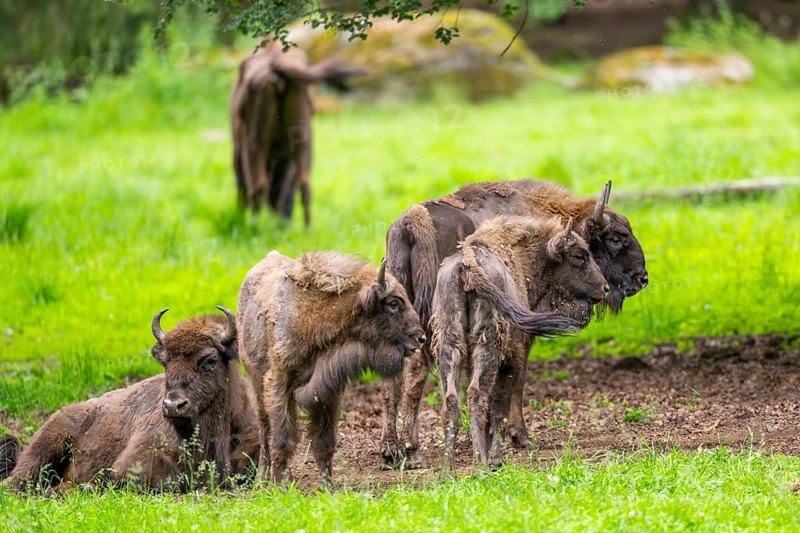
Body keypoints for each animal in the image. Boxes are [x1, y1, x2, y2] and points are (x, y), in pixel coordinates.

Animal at [237, 251, 425, 486]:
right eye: (393, 303)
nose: (421, 338)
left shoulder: (328, 389)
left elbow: (324, 441)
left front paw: (327, 486)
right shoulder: (279, 382)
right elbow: (282, 439)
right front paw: (280, 486)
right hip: (255, 381)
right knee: (265, 429)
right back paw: (263, 479)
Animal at [381, 179, 648, 467]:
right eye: (615, 238)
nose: (642, 278)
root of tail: (414, 220)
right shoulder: (523, 332)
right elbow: (516, 380)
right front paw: (519, 436)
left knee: (395, 380)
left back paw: (393, 450)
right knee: (416, 373)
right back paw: (411, 449)